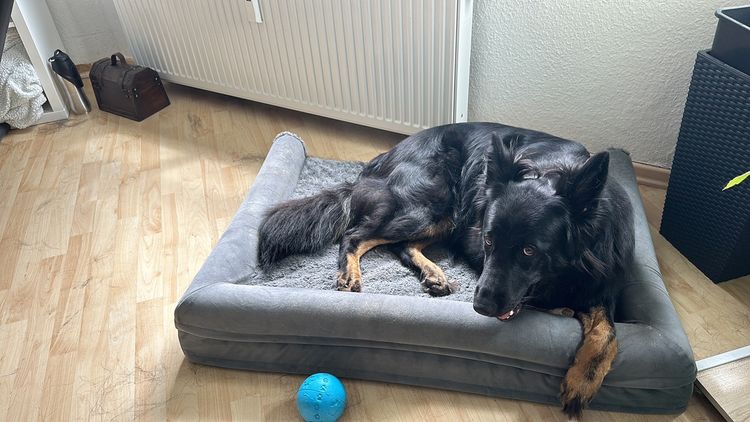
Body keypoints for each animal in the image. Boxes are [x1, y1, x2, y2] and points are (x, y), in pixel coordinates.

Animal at [258, 122, 636, 416]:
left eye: (529, 251)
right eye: (488, 240)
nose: (479, 306)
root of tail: (381, 161)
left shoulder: (600, 283)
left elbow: (607, 331)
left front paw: (583, 379)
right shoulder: (476, 243)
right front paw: (562, 311)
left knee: (402, 246)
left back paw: (434, 274)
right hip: (435, 205)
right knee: (356, 235)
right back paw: (351, 274)